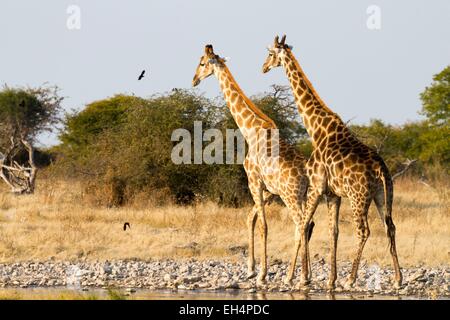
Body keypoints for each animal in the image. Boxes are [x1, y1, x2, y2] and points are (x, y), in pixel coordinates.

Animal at [192, 44, 314, 284]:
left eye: (202, 63)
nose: (194, 80)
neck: (250, 129)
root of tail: (307, 173)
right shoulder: (269, 190)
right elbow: (251, 219)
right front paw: (250, 269)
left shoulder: (254, 181)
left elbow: (263, 226)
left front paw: (262, 274)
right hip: (303, 196)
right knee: (307, 224)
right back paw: (304, 274)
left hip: (291, 196)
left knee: (301, 224)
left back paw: (298, 277)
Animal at [262, 35, 402, 290]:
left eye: (269, 53)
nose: (263, 67)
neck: (316, 129)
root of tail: (380, 168)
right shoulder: (333, 194)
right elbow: (333, 232)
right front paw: (329, 280)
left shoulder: (317, 187)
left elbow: (304, 224)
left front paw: (299, 277)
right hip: (382, 194)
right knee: (390, 226)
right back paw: (398, 279)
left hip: (358, 197)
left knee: (364, 231)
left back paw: (351, 279)